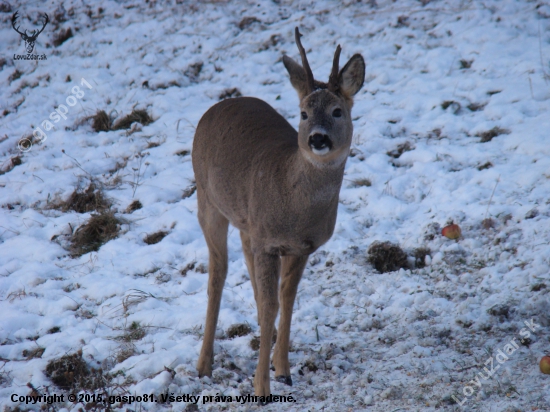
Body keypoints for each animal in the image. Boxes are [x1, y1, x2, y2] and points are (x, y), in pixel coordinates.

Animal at [194, 27, 366, 398]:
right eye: (303, 113)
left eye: (337, 111)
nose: (317, 139)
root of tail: (220, 104)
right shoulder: (268, 242)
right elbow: (272, 304)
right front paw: (262, 389)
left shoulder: (301, 246)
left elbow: (286, 299)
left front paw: (283, 369)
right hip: (207, 201)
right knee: (218, 273)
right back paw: (203, 365)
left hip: (246, 222)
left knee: (248, 269)